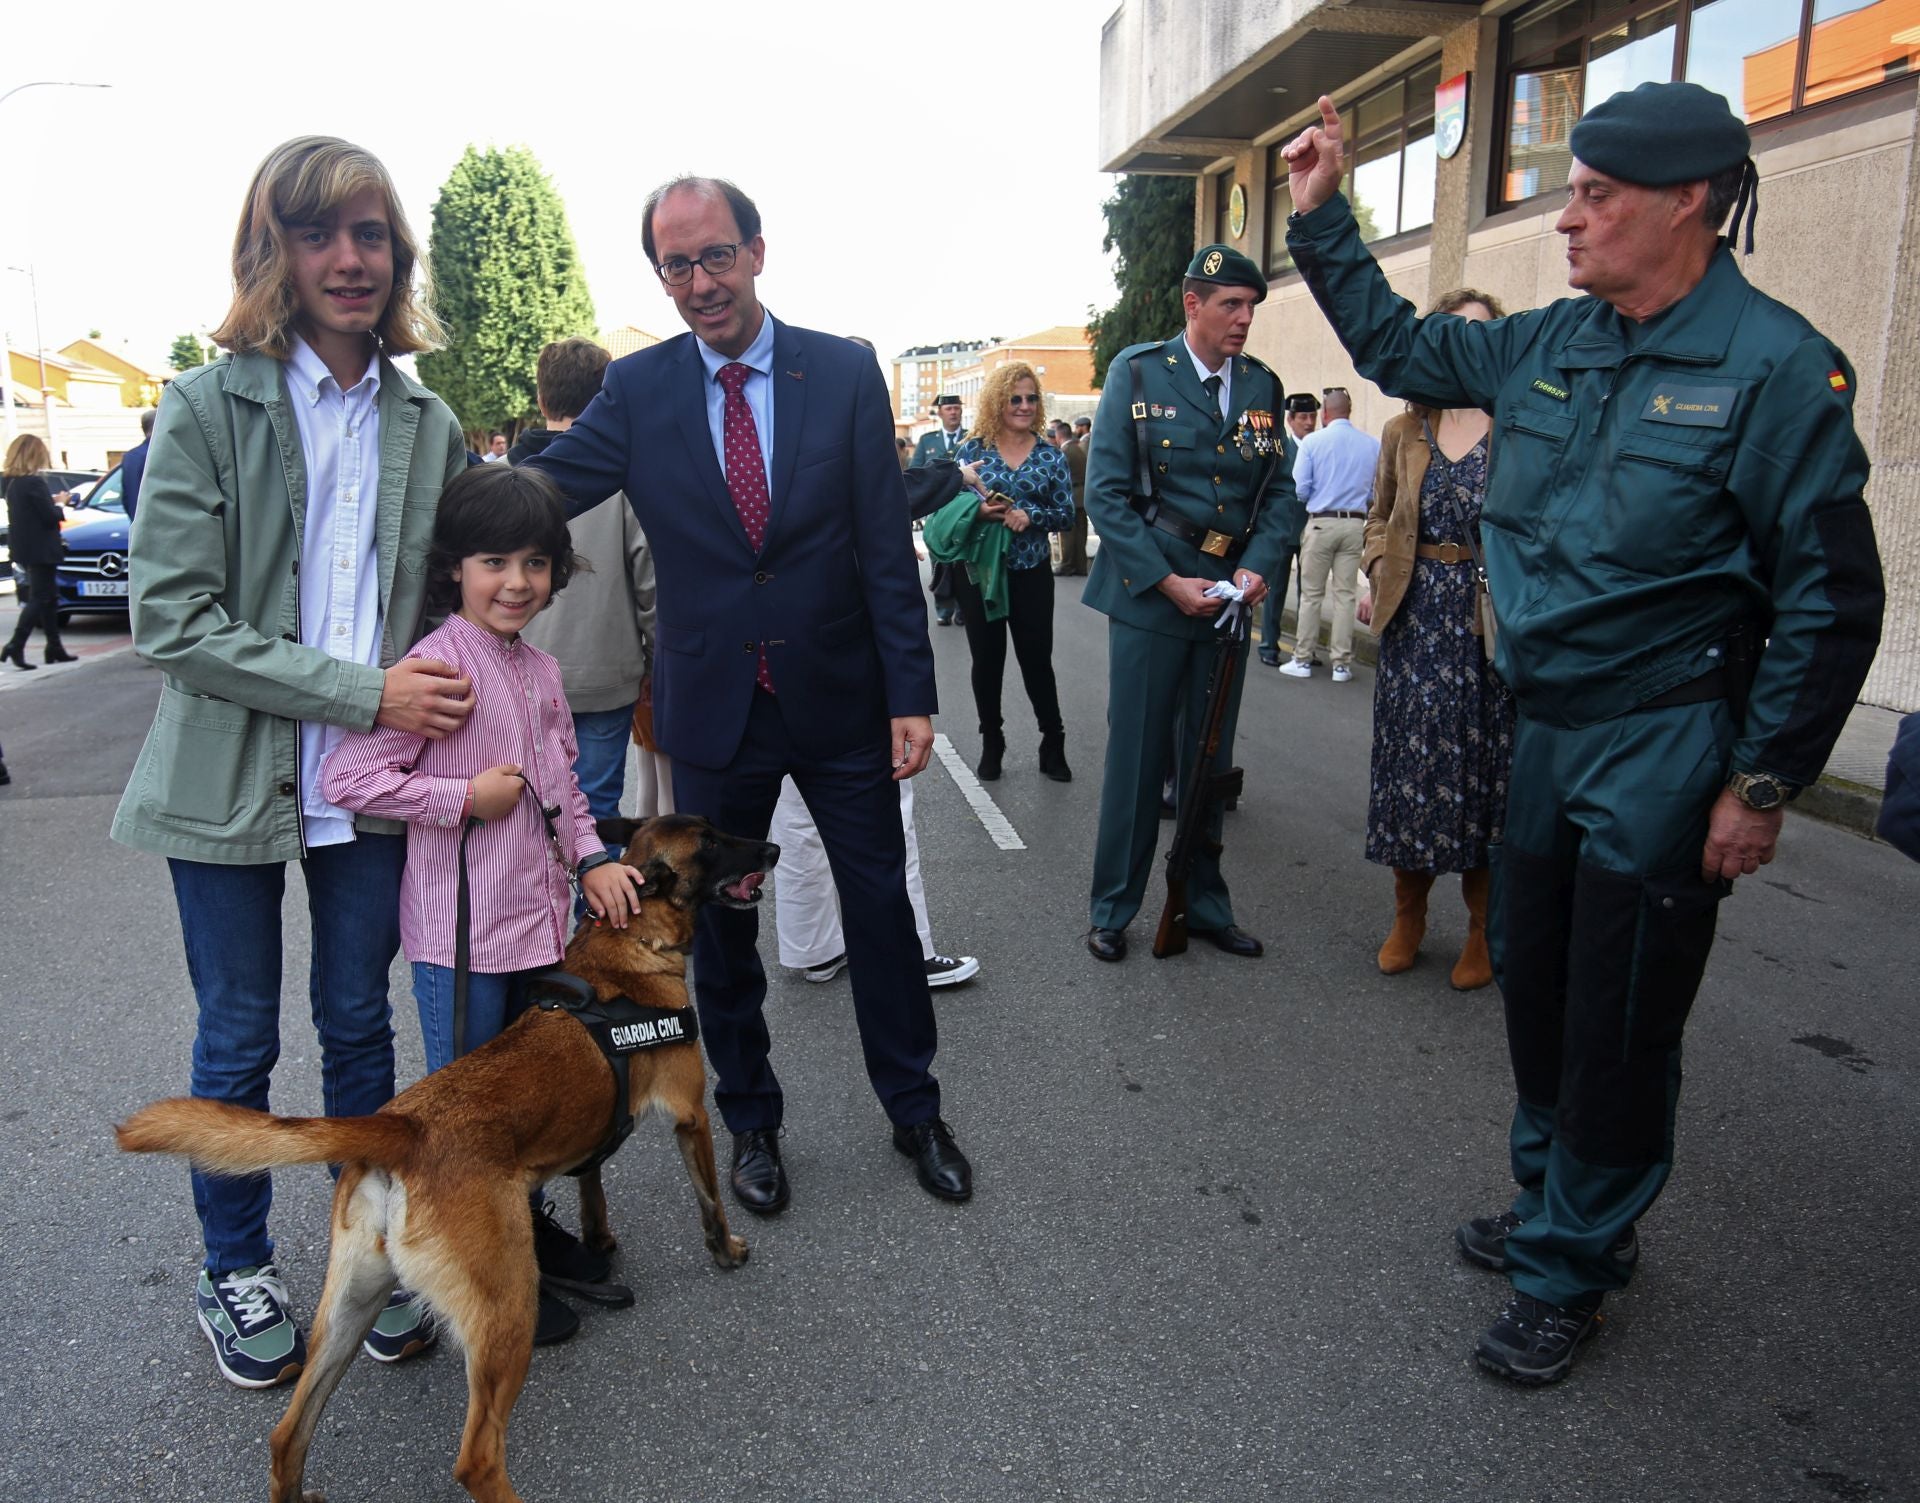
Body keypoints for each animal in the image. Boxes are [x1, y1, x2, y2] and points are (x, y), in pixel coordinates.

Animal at [116, 817, 775, 1503]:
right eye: (712, 842)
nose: (773, 848)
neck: (630, 937)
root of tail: (400, 1128)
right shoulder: (692, 1116)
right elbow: (708, 1199)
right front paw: (726, 1251)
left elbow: (591, 1179)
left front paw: (598, 1239)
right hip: (505, 1314)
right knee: (477, 1457)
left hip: (350, 1309)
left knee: (286, 1435)